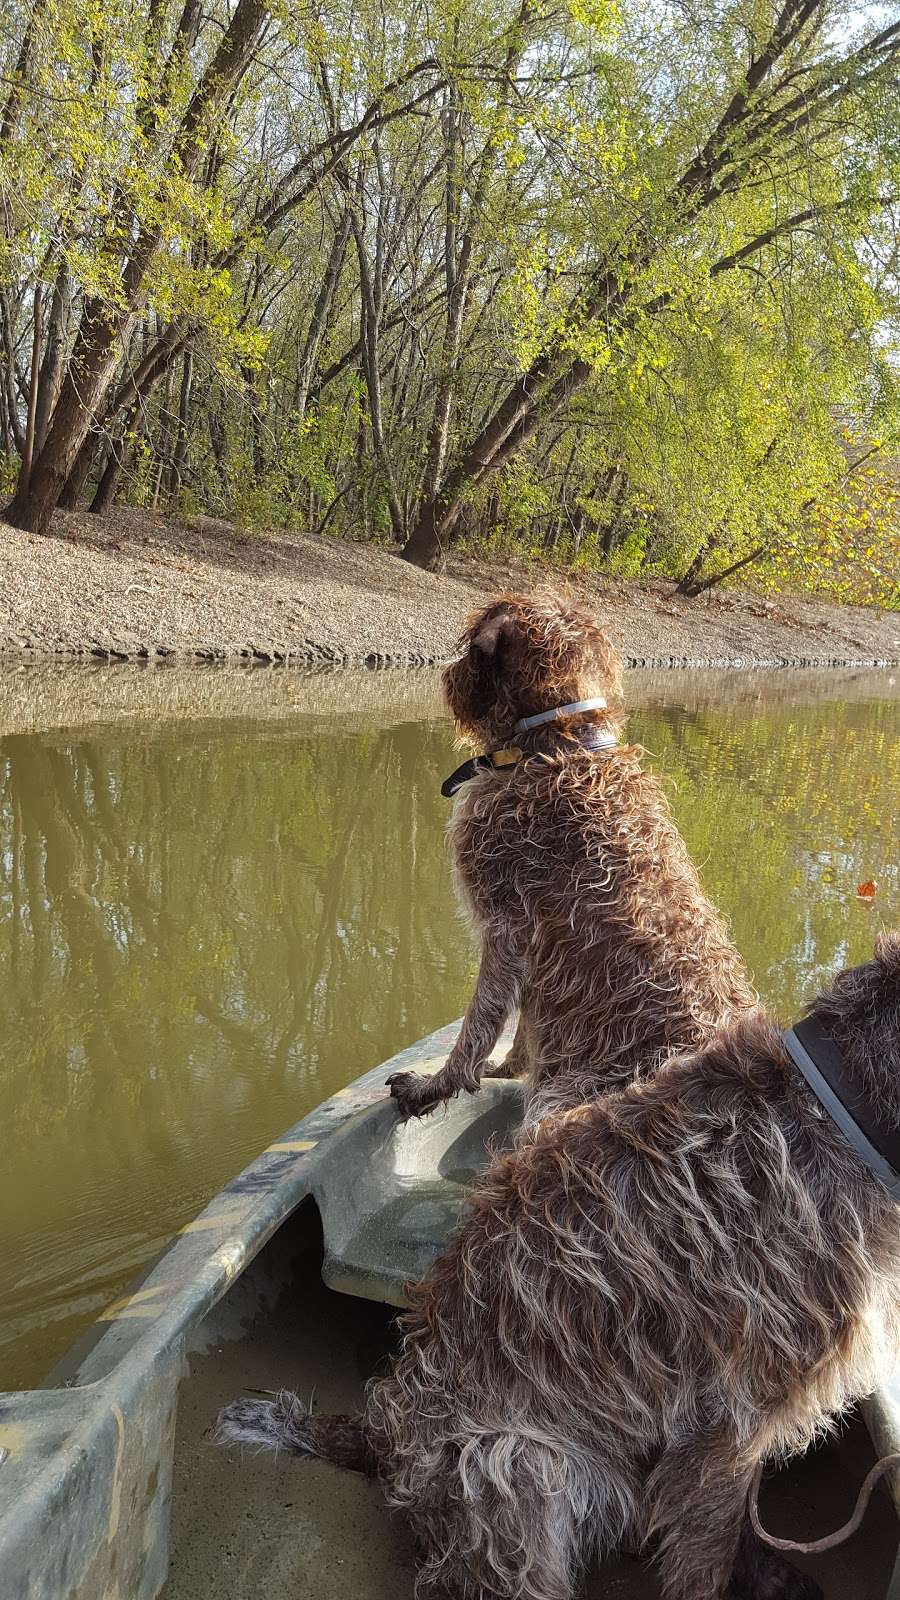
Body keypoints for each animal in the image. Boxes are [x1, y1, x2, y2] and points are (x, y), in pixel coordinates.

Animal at [219, 934, 896, 1600]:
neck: (834, 1111)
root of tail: (379, 1441)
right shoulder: (732, 1418)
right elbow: (707, 1556)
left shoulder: (734, 1423)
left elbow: (732, 1528)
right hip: (514, 1462)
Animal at [385, 592, 749, 1126]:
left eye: (469, 643)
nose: (448, 672)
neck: (561, 743)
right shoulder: (535, 960)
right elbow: (523, 1030)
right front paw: (508, 1068)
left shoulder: (507, 929)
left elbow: (479, 1026)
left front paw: (437, 1084)